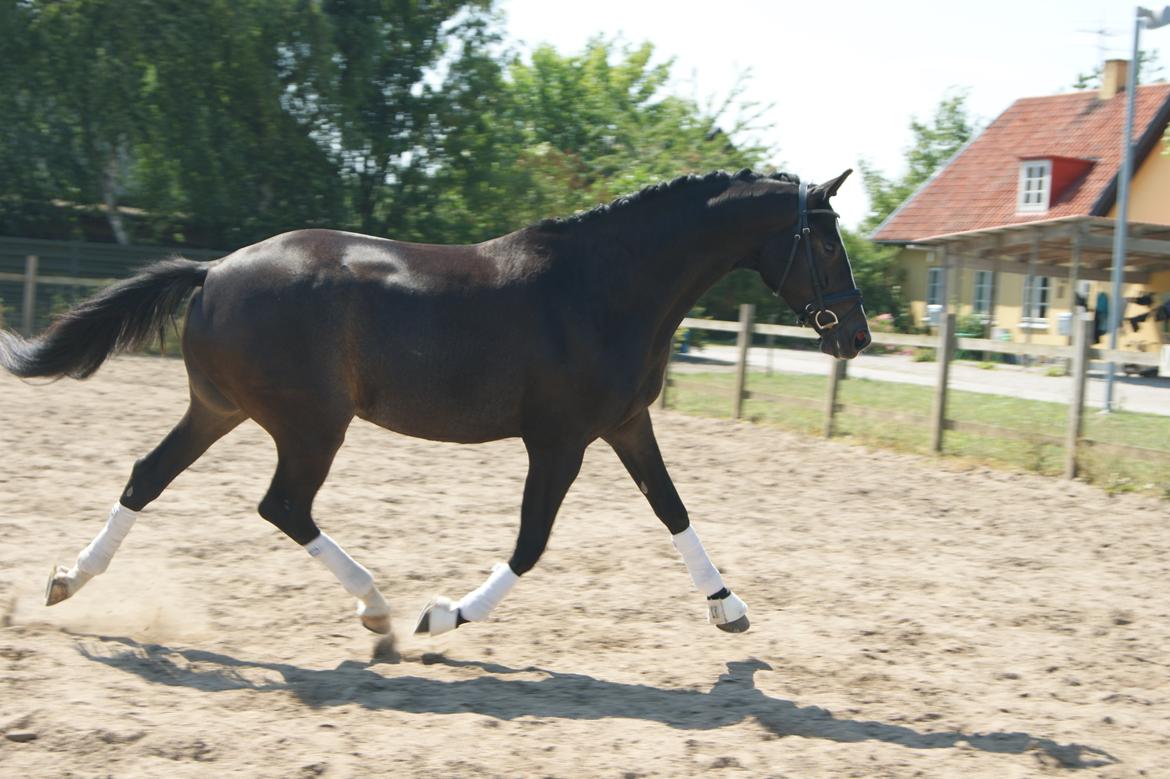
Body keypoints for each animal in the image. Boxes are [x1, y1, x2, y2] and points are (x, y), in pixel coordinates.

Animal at [0, 167, 870, 636]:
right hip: (312, 425)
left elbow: (673, 508)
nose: (857, 334)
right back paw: (380, 608)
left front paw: (729, 607)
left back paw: (68, 580)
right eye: (827, 241)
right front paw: (445, 614)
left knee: (148, 475)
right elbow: (531, 542)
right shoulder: (558, 440)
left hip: (221, 408)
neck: (604, 289)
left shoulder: (626, 424)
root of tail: (213, 270)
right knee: (283, 505)